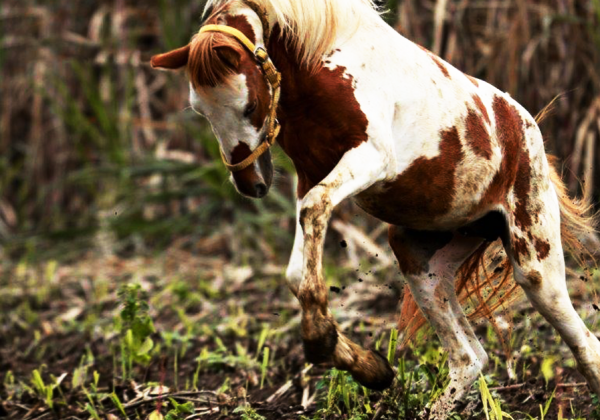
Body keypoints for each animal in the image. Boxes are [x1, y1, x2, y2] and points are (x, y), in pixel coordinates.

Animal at [150, 0, 600, 414]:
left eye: (249, 106)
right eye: (199, 109)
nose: (251, 185)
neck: (318, 63)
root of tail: (526, 125)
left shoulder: (370, 159)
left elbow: (314, 212)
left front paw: (322, 340)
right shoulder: (310, 176)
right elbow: (297, 267)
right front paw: (369, 367)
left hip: (534, 265)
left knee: (583, 344)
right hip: (423, 264)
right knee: (470, 360)